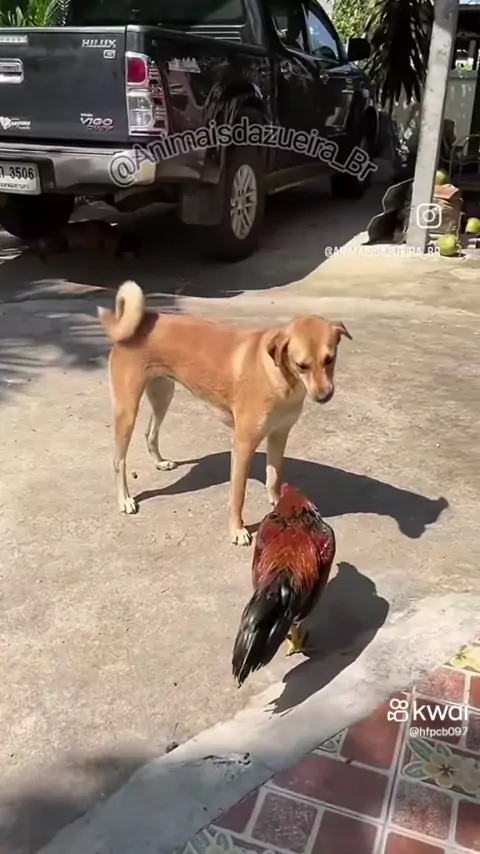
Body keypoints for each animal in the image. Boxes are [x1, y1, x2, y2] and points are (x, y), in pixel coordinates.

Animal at [98, 280, 351, 545]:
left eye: (330, 359)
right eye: (302, 365)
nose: (324, 396)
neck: (280, 375)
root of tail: (143, 320)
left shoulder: (278, 435)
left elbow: (274, 477)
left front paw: (280, 505)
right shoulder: (243, 445)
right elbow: (237, 495)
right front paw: (237, 530)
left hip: (162, 395)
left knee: (150, 433)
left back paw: (159, 462)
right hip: (127, 408)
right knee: (119, 459)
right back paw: (125, 499)